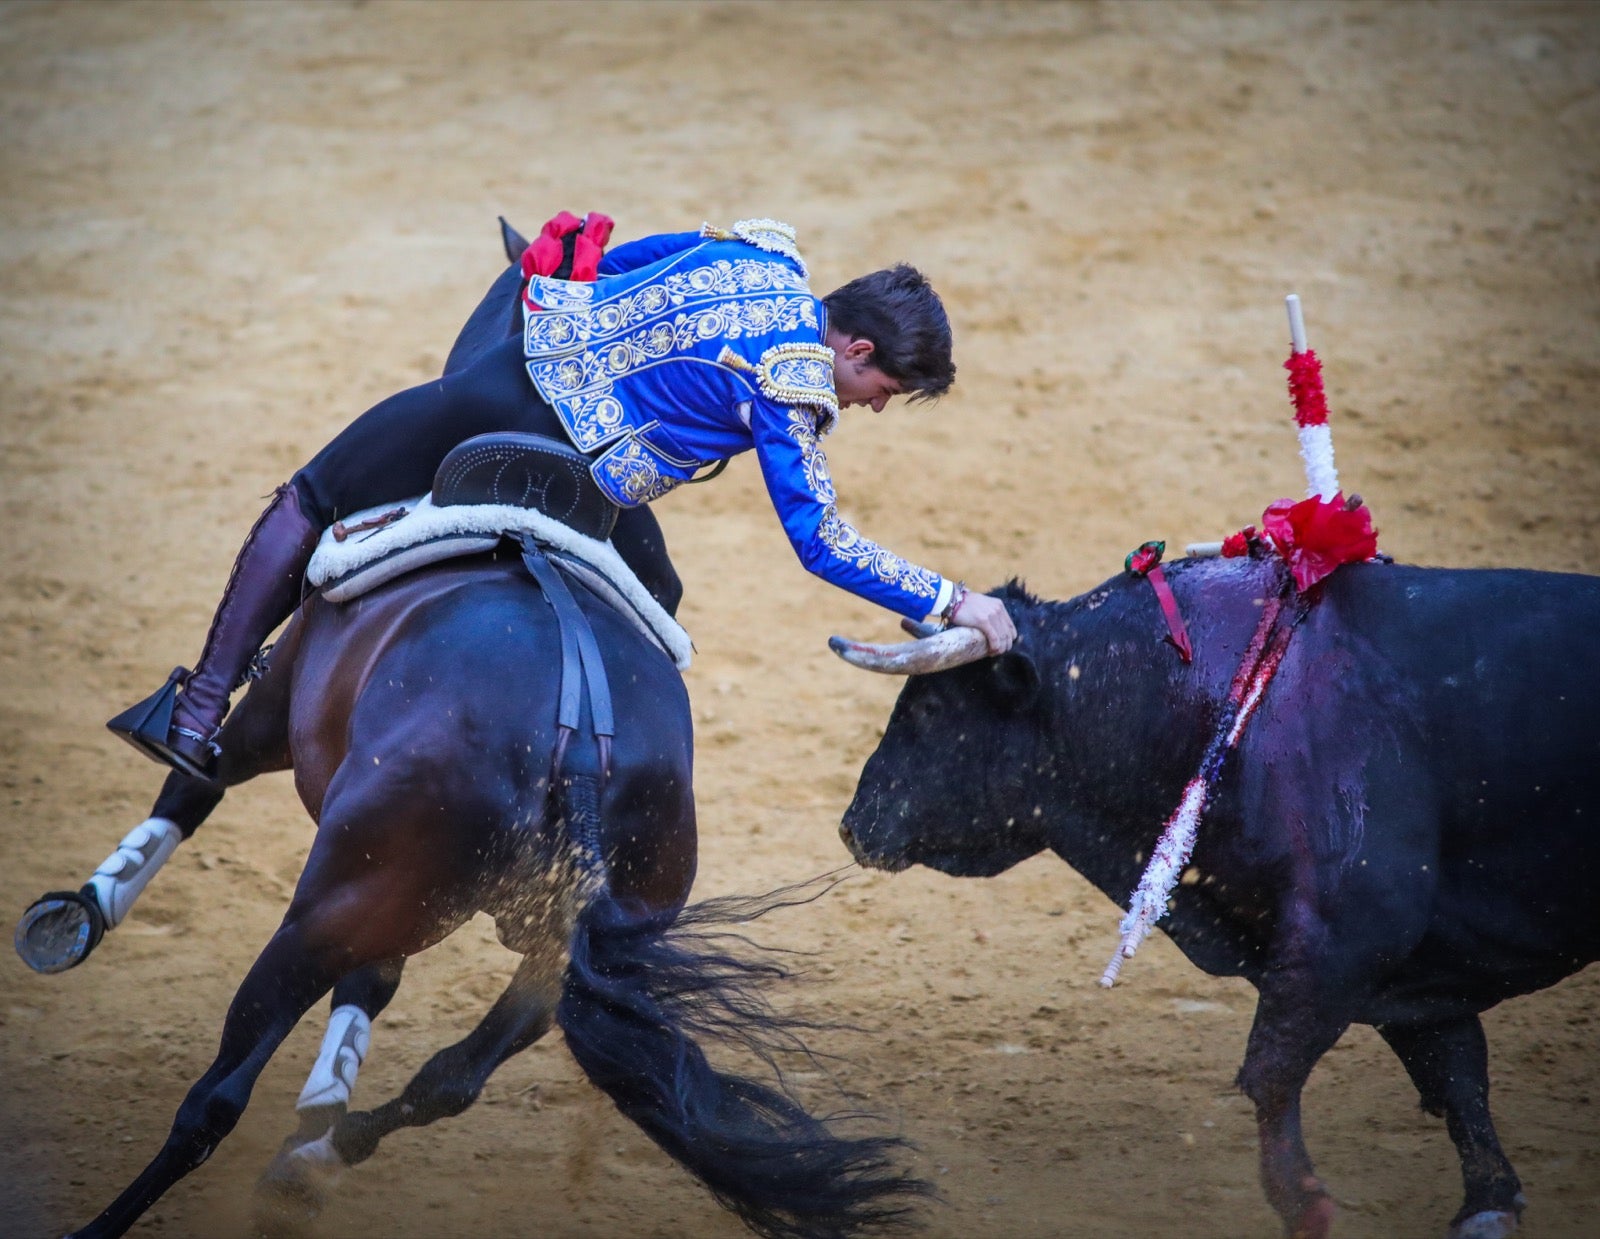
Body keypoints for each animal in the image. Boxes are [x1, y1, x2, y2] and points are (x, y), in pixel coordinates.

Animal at [37, 547, 928, 1235]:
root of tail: (581, 738)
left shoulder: (274, 709)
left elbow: (194, 778)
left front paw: (77, 914)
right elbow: (378, 991)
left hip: (326, 909)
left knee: (217, 1098)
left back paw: (117, 1217)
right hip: (537, 946)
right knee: (453, 1074)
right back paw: (304, 1166)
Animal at [838, 557, 1600, 1239]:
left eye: (932, 707)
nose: (853, 825)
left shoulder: (1349, 935)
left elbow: (1271, 1073)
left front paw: (1305, 1206)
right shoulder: (1406, 961)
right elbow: (1457, 1074)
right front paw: (1488, 1204)